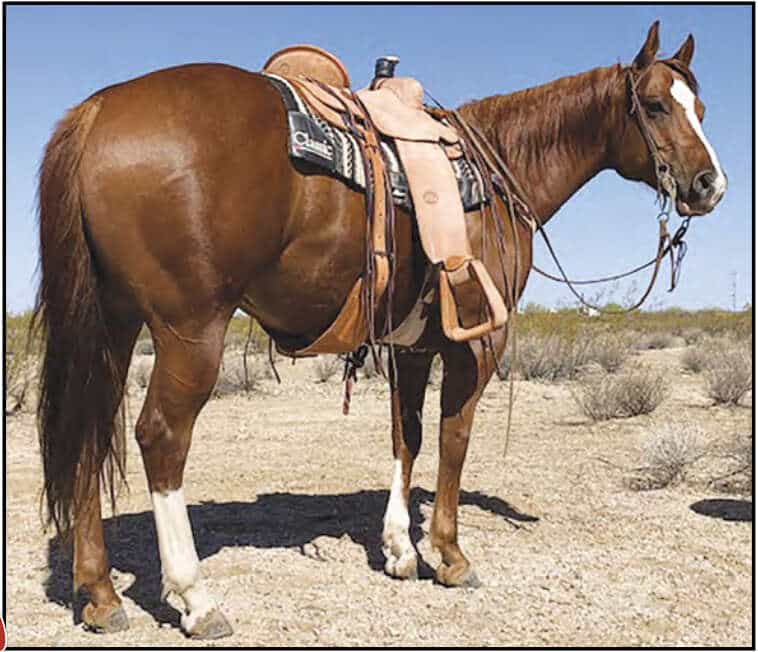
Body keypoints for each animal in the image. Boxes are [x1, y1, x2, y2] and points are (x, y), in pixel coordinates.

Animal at [34, 21, 725, 638]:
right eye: (656, 105)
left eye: (701, 107)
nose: (709, 185)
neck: (500, 169)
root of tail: (99, 109)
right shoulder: (476, 343)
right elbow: (453, 439)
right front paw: (449, 554)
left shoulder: (412, 345)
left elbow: (407, 436)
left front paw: (399, 548)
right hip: (190, 328)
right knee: (161, 438)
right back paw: (197, 599)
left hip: (114, 322)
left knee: (90, 433)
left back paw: (99, 594)